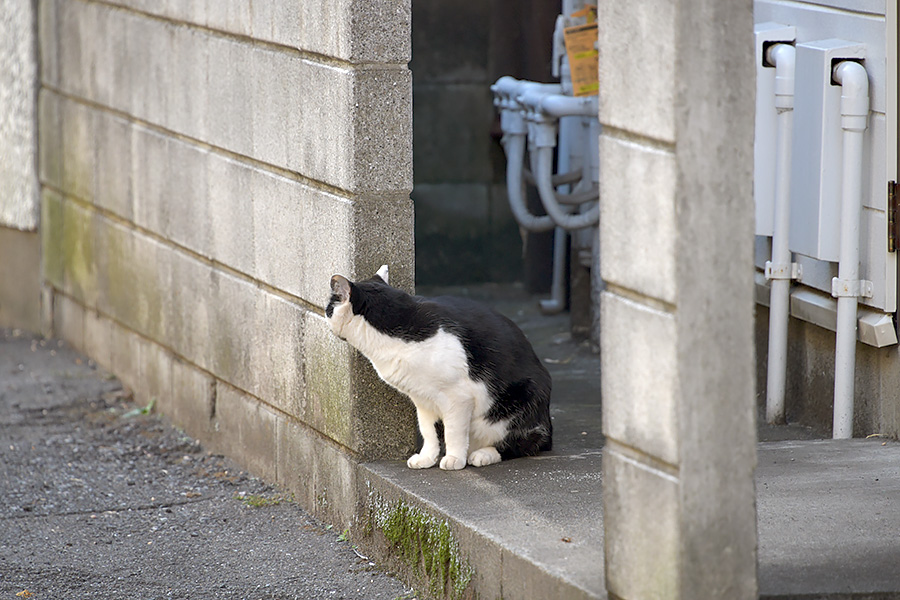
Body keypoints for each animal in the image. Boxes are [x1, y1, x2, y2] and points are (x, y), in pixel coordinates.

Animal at [324, 266, 548, 468]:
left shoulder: (459, 397)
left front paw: (454, 459)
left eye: (328, 309)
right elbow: (428, 430)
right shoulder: (422, 399)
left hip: (517, 405)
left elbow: (453, 431)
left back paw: (482, 455)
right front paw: (427, 458)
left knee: (522, 444)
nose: (324, 314)